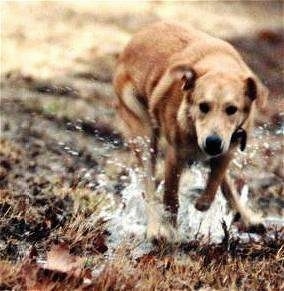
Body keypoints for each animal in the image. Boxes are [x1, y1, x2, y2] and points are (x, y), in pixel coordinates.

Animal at [112, 22, 266, 242]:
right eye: (203, 106)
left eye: (232, 109)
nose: (212, 142)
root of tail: (133, 40)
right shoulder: (175, 156)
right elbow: (171, 198)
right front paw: (171, 229)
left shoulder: (228, 148)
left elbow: (217, 178)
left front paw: (203, 203)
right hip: (144, 135)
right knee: (148, 186)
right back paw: (154, 228)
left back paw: (246, 216)